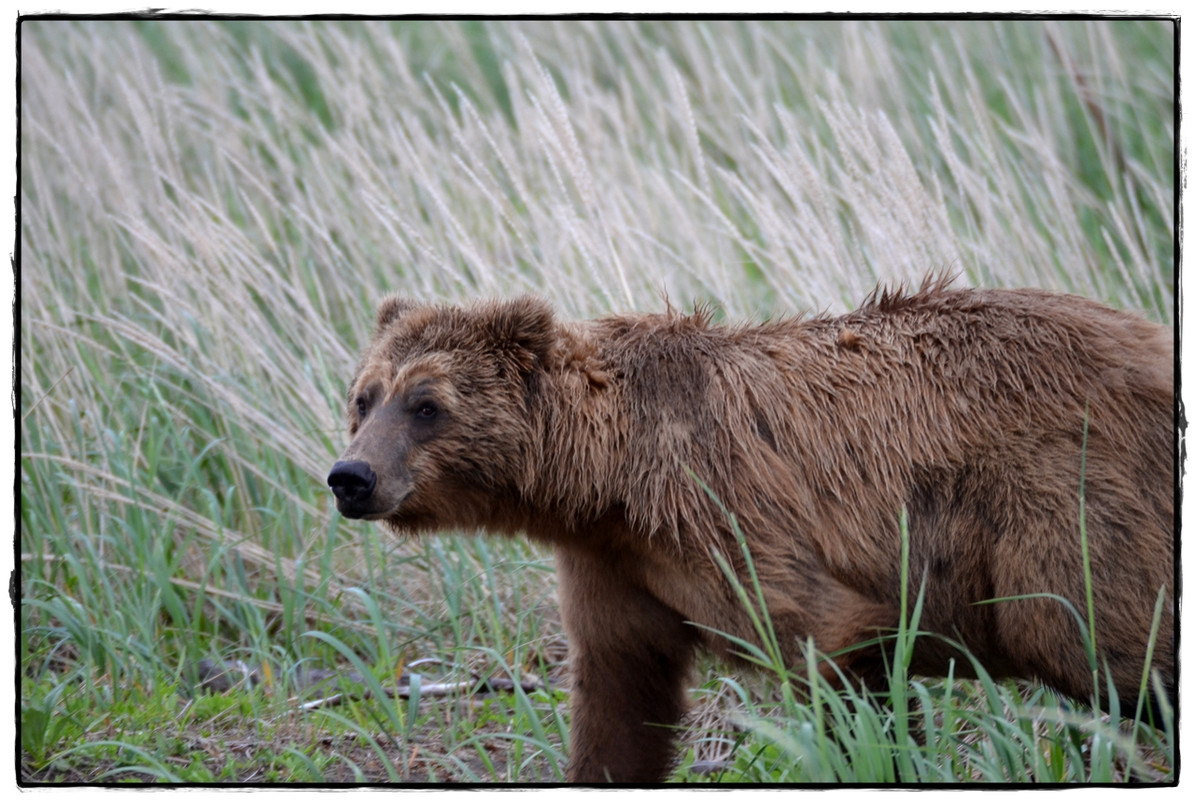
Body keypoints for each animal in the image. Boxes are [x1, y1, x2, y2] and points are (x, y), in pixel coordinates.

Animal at [329, 283, 1175, 784]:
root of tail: (1151, 344)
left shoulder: (726, 514)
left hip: (1062, 504)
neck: (607, 481)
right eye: (364, 396)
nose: (350, 477)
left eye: (427, 404)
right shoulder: (615, 565)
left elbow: (834, 648)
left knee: (1098, 640)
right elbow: (619, 698)